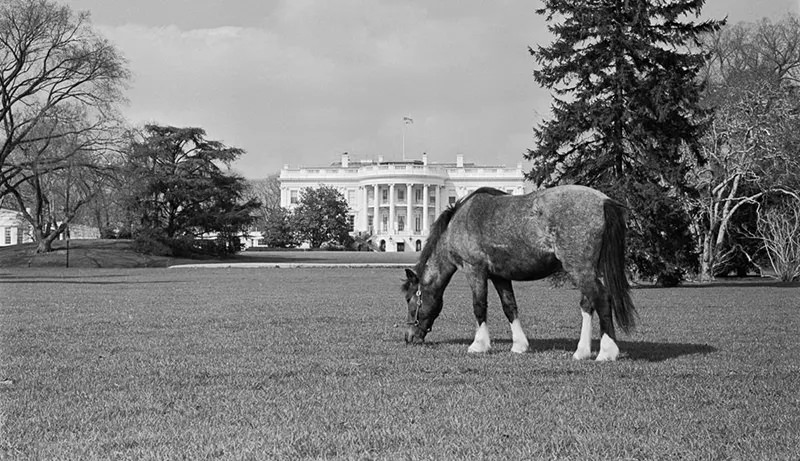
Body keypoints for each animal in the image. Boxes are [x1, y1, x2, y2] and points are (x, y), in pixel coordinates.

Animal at [404, 183, 636, 360]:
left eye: (410, 300)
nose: (409, 337)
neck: (460, 220)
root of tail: (603, 201)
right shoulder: (500, 276)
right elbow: (510, 307)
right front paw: (519, 345)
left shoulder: (474, 270)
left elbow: (479, 306)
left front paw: (479, 345)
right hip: (586, 270)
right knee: (588, 304)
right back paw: (582, 352)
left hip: (579, 269)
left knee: (602, 299)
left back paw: (606, 352)